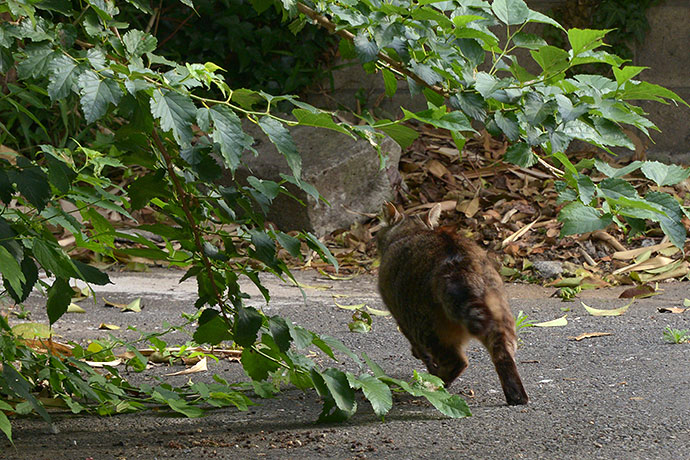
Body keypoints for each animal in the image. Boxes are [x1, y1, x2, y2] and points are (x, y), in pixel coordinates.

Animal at [376, 203, 528, 404]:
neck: (412, 230)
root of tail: (461, 265)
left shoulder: (402, 317)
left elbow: (421, 351)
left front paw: (424, 363)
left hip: (427, 326)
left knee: (457, 362)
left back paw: (433, 384)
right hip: (501, 317)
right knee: (503, 355)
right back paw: (516, 395)